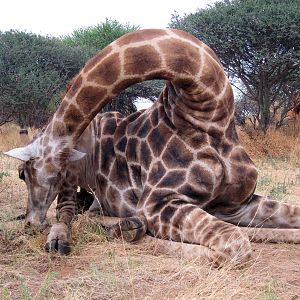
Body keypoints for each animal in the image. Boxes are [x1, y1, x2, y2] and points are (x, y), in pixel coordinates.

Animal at [4, 29, 300, 266]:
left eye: (22, 173)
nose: (31, 224)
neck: (211, 116)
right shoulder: (157, 203)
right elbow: (234, 247)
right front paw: (130, 231)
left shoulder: (235, 204)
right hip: (73, 178)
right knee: (67, 212)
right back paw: (77, 236)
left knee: (85, 209)